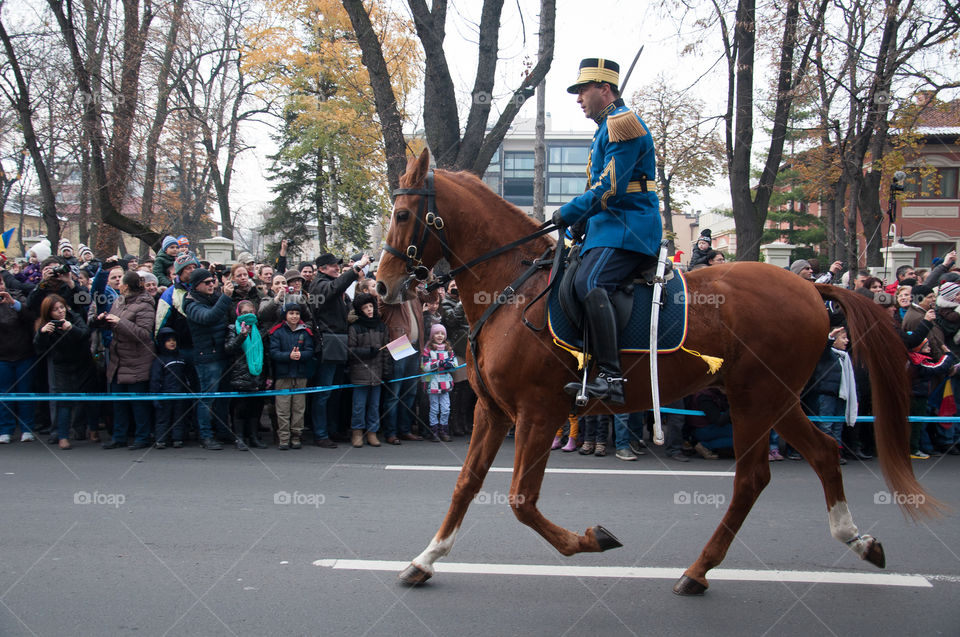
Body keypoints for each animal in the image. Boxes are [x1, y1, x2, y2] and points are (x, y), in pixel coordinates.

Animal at [374, 148, 936, 592]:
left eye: (402, 213)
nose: (380, 287)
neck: (514, 288)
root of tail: (811, 288)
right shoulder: (492, 412)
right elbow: (466, 485)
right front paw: (425, 559)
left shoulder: (538, 413)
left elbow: (520, 501)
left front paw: (591, 539)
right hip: (774, 400)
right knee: (820, 452)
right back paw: (854, 541)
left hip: (756, 401)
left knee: (753, 478)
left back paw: (700, 569)